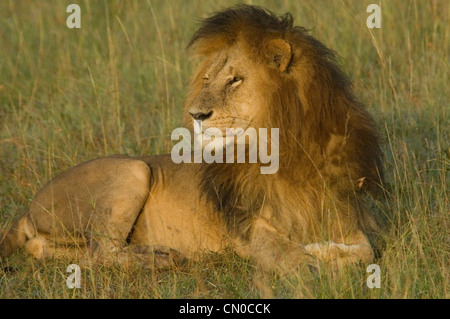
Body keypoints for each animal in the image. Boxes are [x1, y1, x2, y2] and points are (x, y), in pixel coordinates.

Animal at [1, 5, 384, 282]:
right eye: (207, 79)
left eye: (235, 80)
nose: (196, 114)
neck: (290, 147)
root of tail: (27, 209)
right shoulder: (250, 226)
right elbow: (283, 252)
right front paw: (310, 264)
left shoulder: (342, 211)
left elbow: (366, 252)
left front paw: (322, 250)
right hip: (133, 170)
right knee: (101, 252)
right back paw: (160, 260)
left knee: (63, 252)